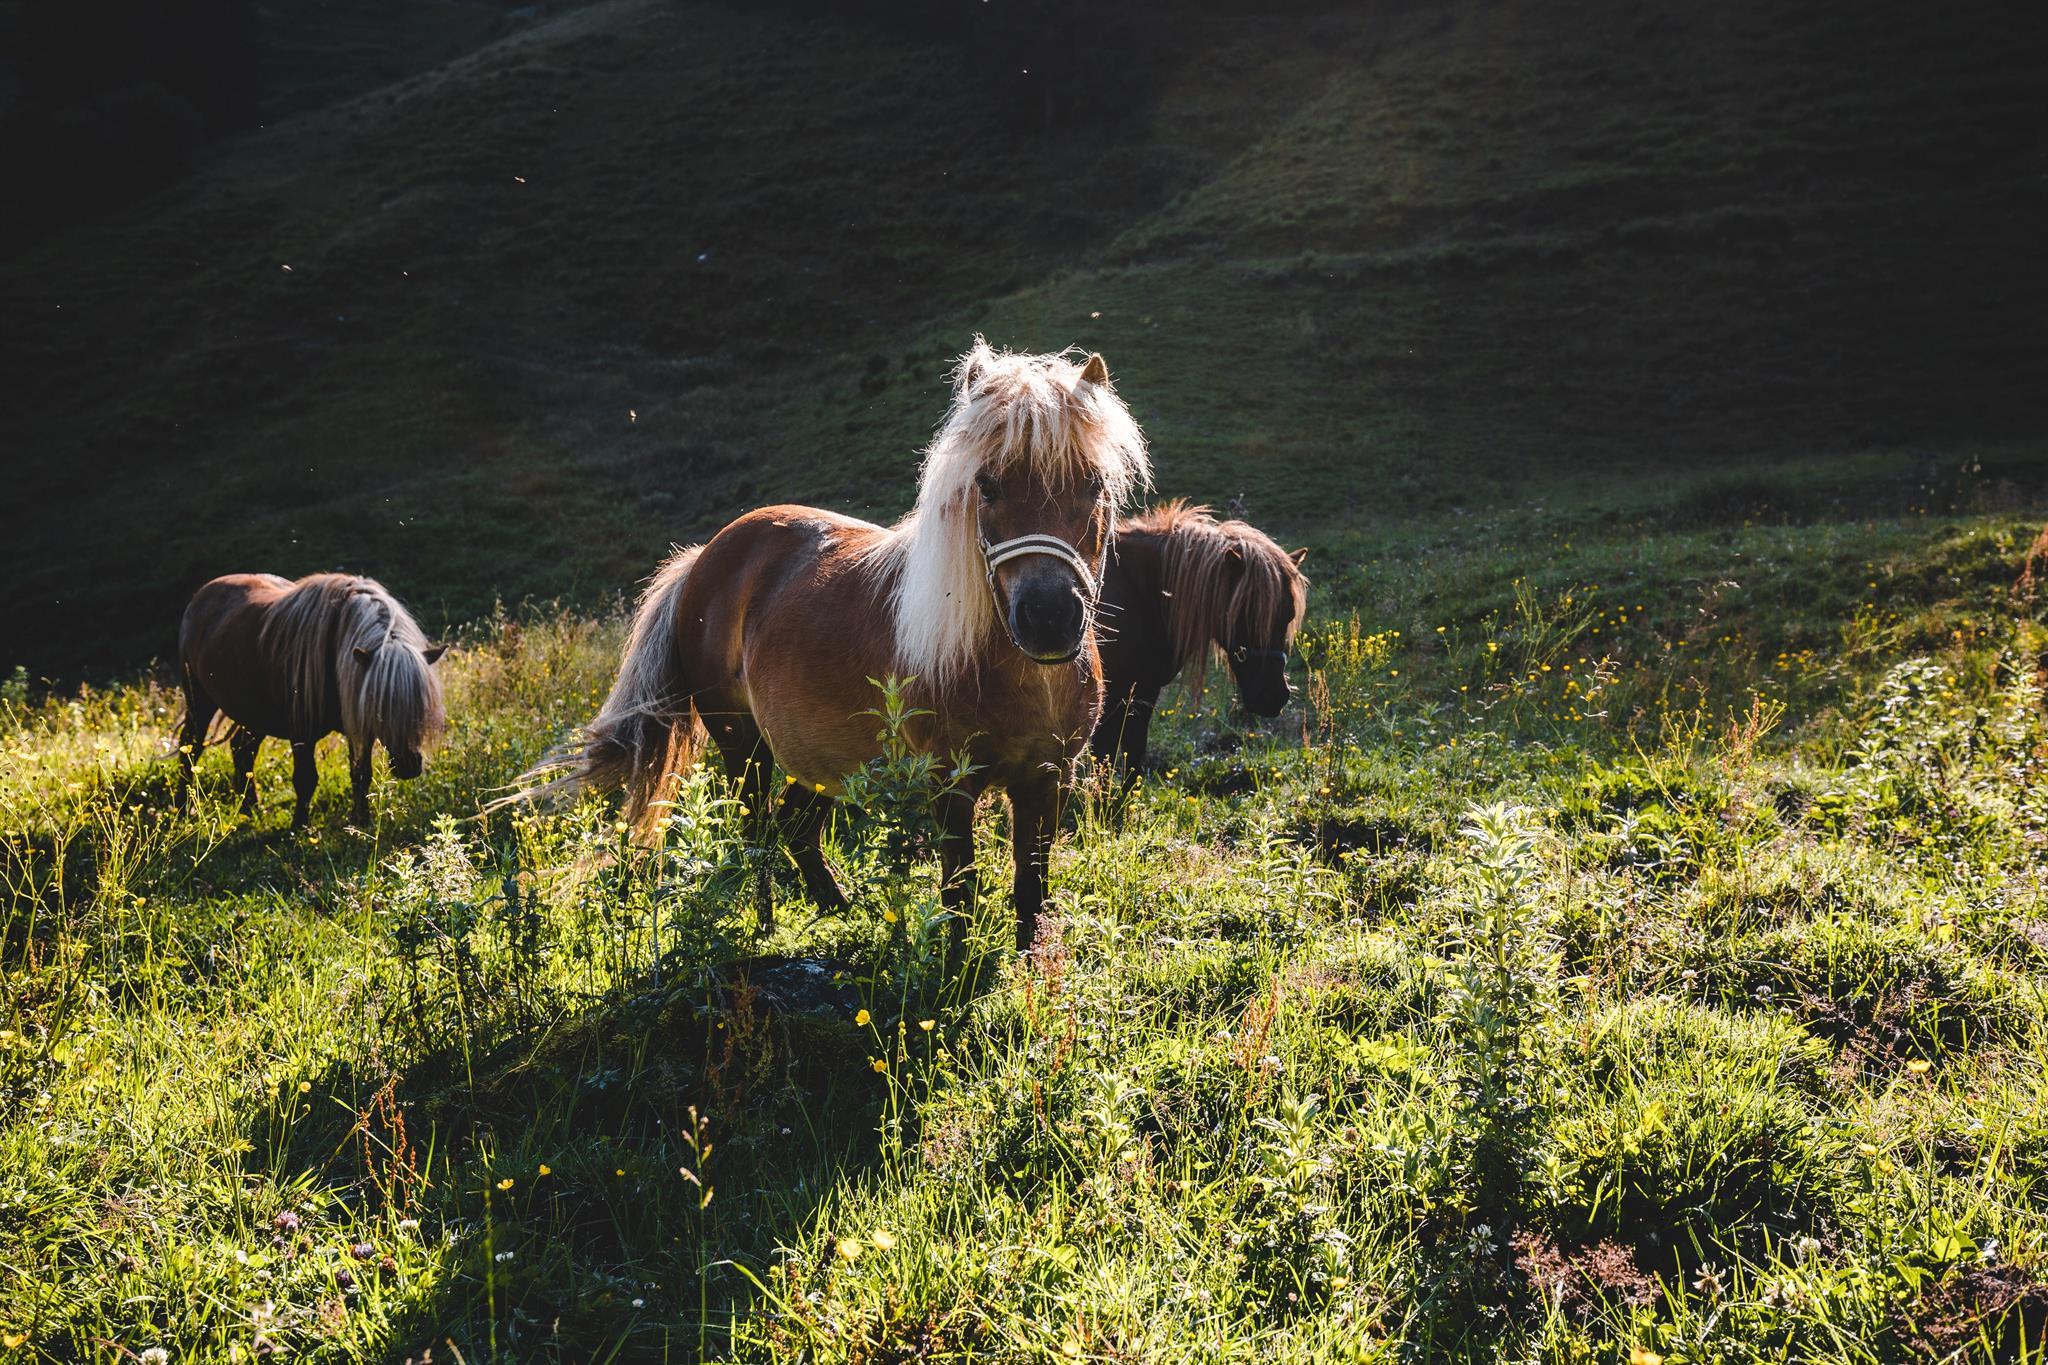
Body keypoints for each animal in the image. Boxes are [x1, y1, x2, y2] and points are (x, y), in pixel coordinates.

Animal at [175, 572, 447, 827]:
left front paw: (362, 821)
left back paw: (250, 809)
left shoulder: (359, 724)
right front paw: (299, 826)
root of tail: (201, 595)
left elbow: (361, 775)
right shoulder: (302, 733)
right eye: (382, 707)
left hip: (255, 714)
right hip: (200, 702)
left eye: (421, 705)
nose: (409, 766)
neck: (334, 650)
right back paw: (184, 809)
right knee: (191, 745)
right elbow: (306, 779)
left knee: (242, 750)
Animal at [509, 340, 1151, 952]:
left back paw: (844, 914)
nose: (1049, 619)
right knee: (757, 832)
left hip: (825, 759)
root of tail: (705, 557)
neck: (1020, 677)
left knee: (796, 830)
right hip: (743, 746)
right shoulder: (948, 785)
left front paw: (1027, 972)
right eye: (986, 487)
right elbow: (960, 895)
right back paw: (767, 928)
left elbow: (1030, 891)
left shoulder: (1048, 780)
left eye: (1093, 485)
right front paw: (956, 974)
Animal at [1090, 501, 1309, 775]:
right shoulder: (1110, 701)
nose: (1273, 696)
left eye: (1289, 614)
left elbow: (1133, 757)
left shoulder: (1143, 695)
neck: (1139, 594)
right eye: (1242, 613)